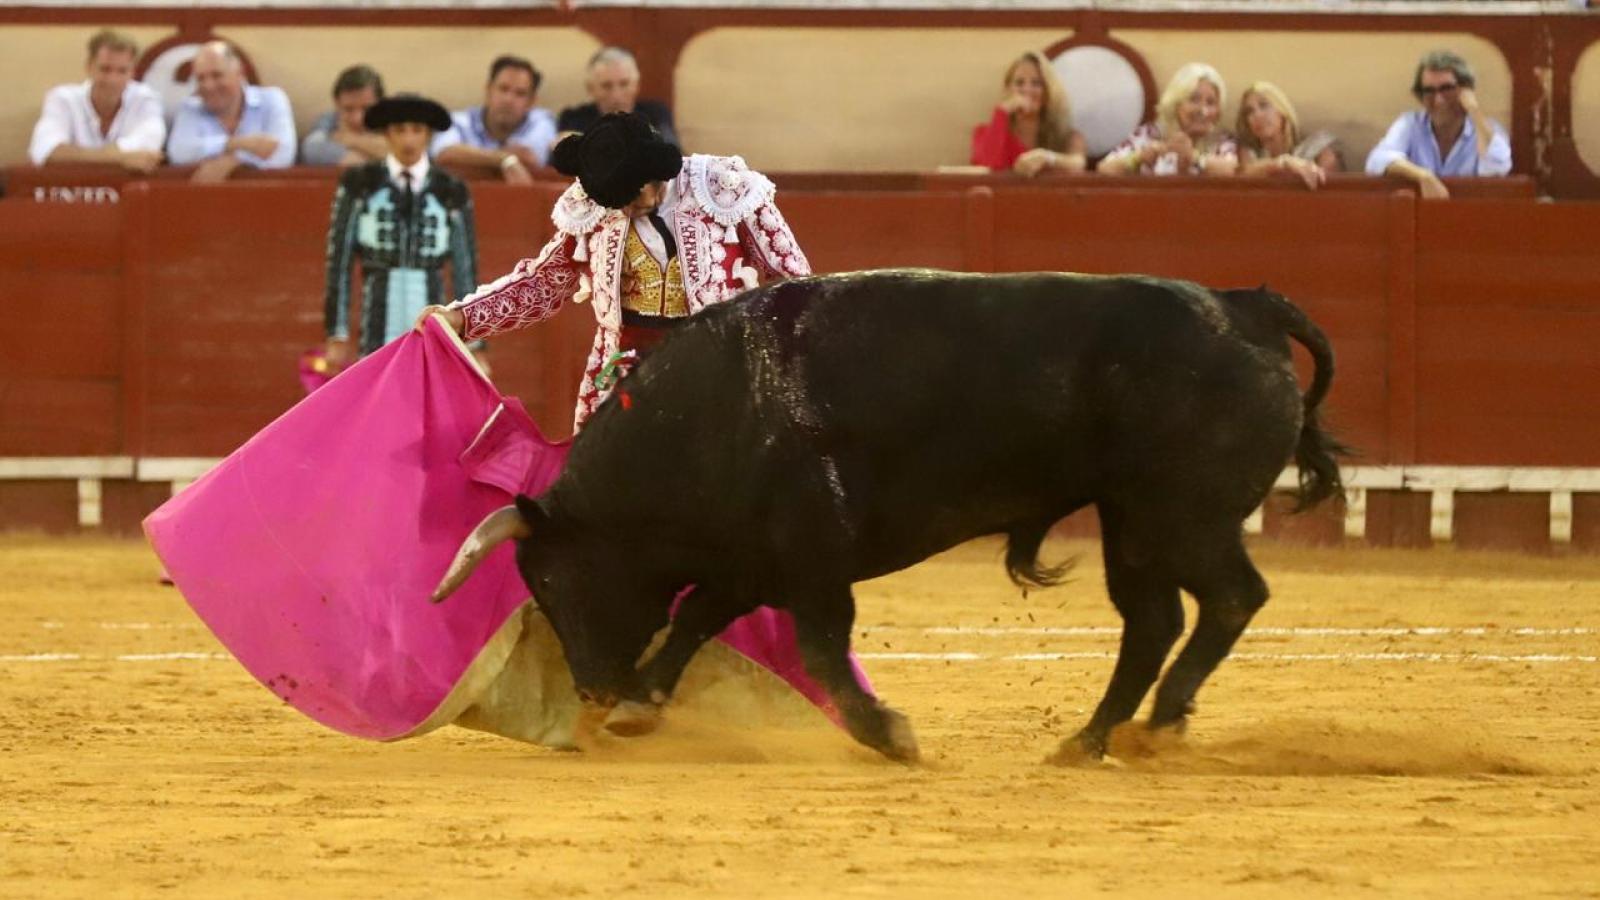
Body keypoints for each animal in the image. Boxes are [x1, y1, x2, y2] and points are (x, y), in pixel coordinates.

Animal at [432, 269, 1344, 759]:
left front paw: (888, 733)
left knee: (1229, 599)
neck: (711, 411)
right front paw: (639, 706)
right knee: (1154, 621)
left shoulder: (811, 560)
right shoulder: (748, 559)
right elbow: (693, 621)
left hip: (1180, 517)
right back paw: (1092, 741)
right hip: (1132, 525)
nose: (590, 687)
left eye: (556, 579)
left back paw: (1155, 725)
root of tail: (1245, 307)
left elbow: (819, 648)